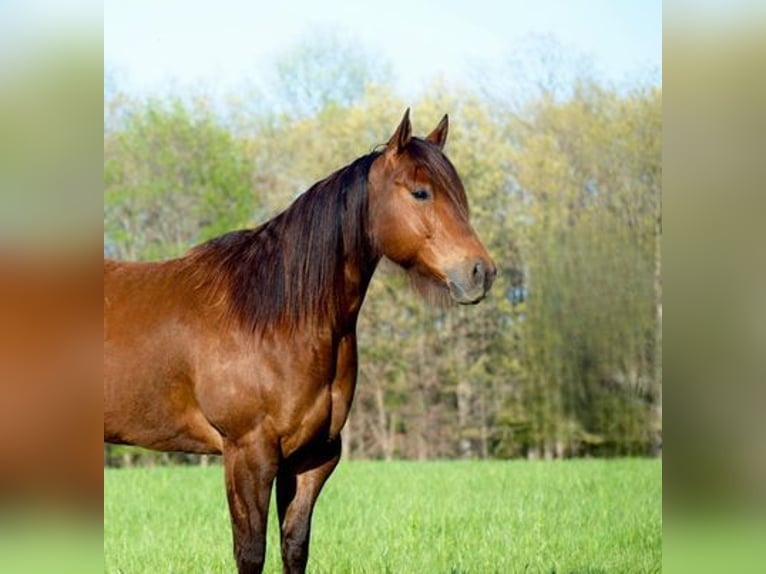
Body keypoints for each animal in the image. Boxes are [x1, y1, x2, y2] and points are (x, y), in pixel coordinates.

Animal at [103, 110, 498, 572]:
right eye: (420, 192)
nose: (480, 272)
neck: (277, 319)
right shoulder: (248, 453)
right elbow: (251, 551)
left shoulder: (312, 457)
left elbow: (294, 545)